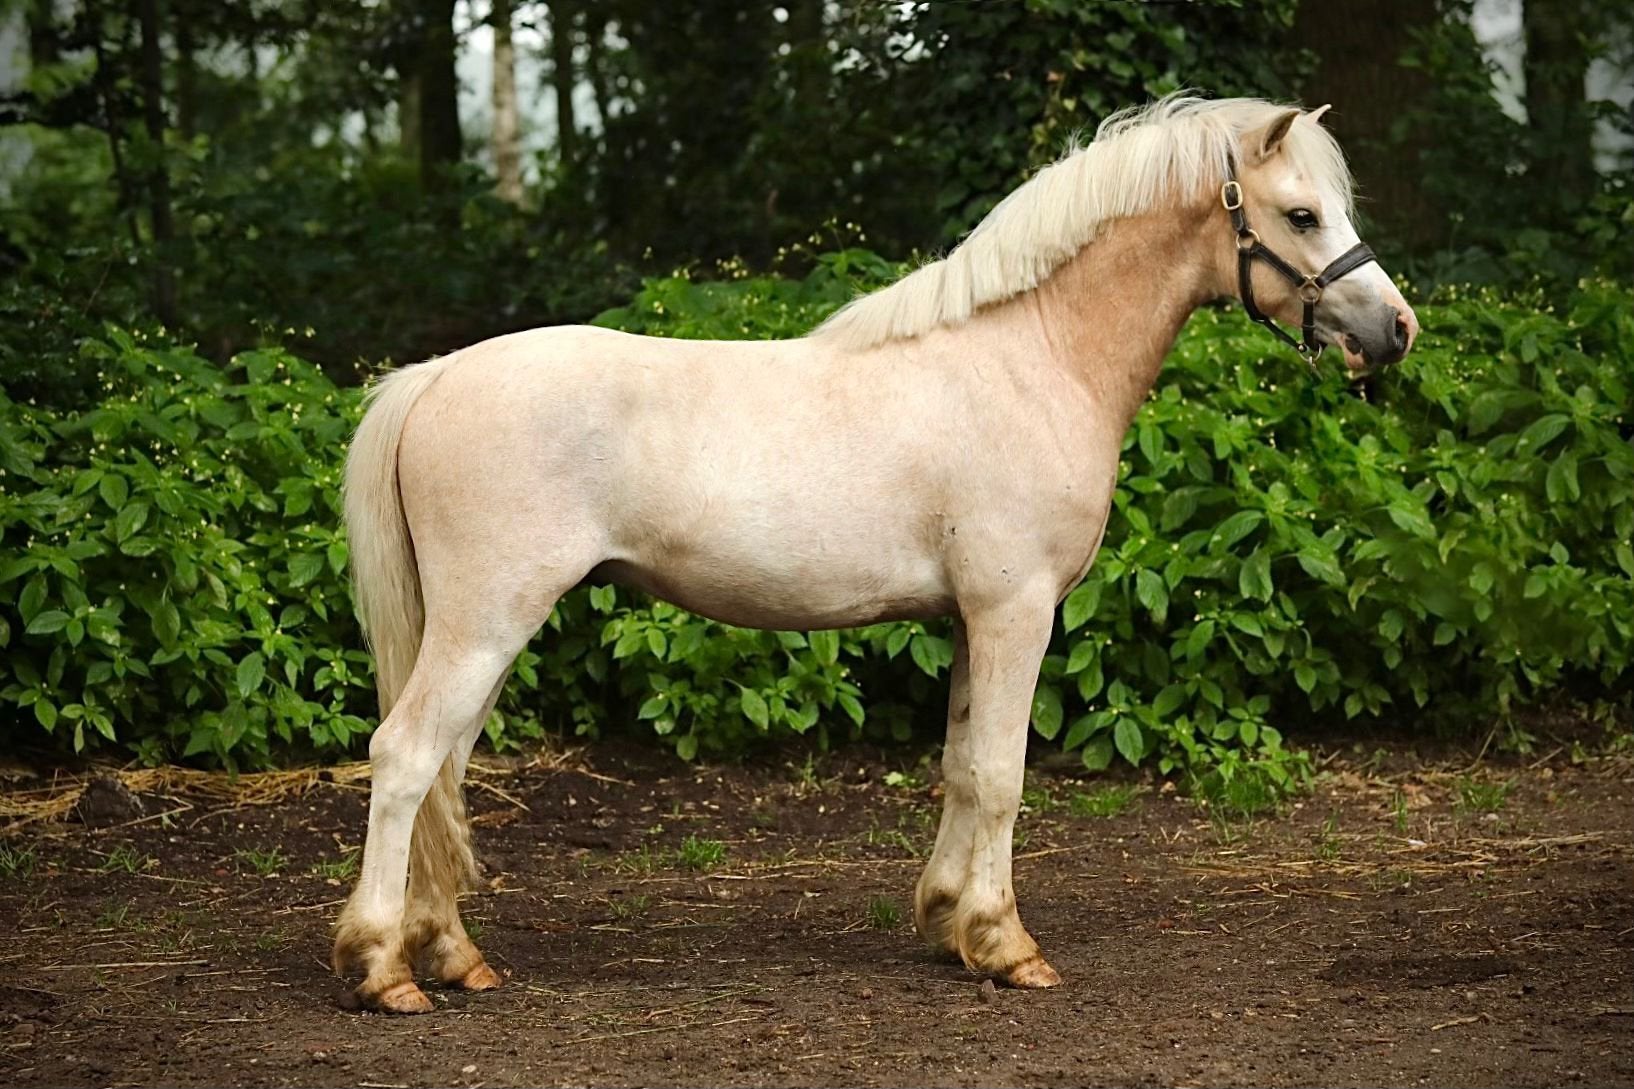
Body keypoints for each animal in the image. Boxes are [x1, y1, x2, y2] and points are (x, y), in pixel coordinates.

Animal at [330, 94, 1418, 1013]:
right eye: (1300, 214)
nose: (1396, 330)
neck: (1030, 360)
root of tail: (433, 377)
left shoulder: (972, 618)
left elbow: (962, 767)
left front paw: (949, 923)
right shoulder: (1016, 609)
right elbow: (1003, 774)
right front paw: (1006, 945)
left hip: (477, 631)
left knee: (444, 774)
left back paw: (453, 955)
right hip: (486, 621)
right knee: (406, 757)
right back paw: (384, 968)